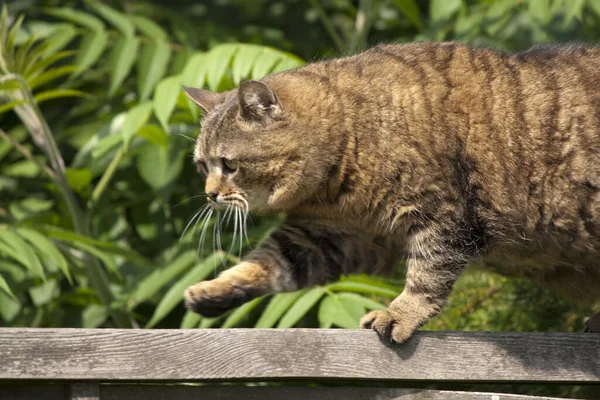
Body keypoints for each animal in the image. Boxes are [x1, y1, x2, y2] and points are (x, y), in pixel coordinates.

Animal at [180, 41, 600, 344]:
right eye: (202, 166)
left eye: (229, 164)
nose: (209, 194)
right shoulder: (328, 236)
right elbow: (265, 264)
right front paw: (213, 291)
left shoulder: (444, 216)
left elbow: (427, 275)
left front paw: (399, 313)